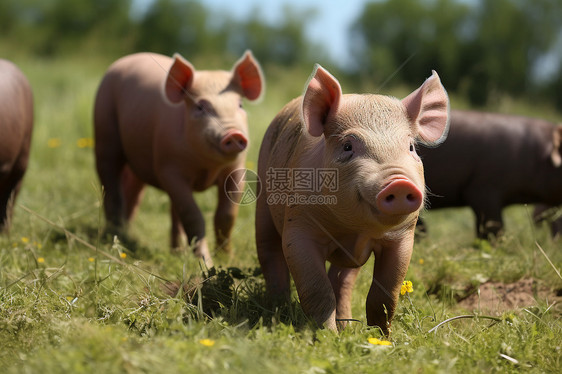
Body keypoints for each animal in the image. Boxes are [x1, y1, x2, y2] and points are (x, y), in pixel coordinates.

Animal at [93, 51, 264, 268]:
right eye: (200, 107)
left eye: (240, 105)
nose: (233, 134)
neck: (207, 168)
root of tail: (126, 59)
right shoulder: (169, 169)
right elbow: (193, 216)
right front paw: (207, 264)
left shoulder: (235, 170)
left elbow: (226, 217)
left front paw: (227, 260)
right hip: (104, 132)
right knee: (111, 186)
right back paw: (114, 237)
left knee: (137, 194)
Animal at [256, 65, 448, 334]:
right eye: (348, 146)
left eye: (410, 147)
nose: (399, 183)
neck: (354, 229)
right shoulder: (299, 227)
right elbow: (317, 290)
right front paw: (327, 337)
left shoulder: (403, 237)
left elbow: (385, 295)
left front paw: (382, 337)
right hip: (262, 199)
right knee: (269, 253)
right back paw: (277, 311)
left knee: (343, 282)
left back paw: (347, 327)